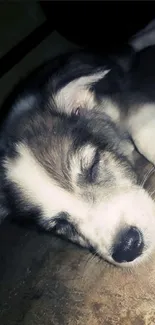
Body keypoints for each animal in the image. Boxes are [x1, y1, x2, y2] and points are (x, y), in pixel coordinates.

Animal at [0, 19, 155, 266]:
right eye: (60, 225)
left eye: (92, 167)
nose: (129, 248)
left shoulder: (122, 100)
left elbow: (141, 130)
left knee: (131, 45)